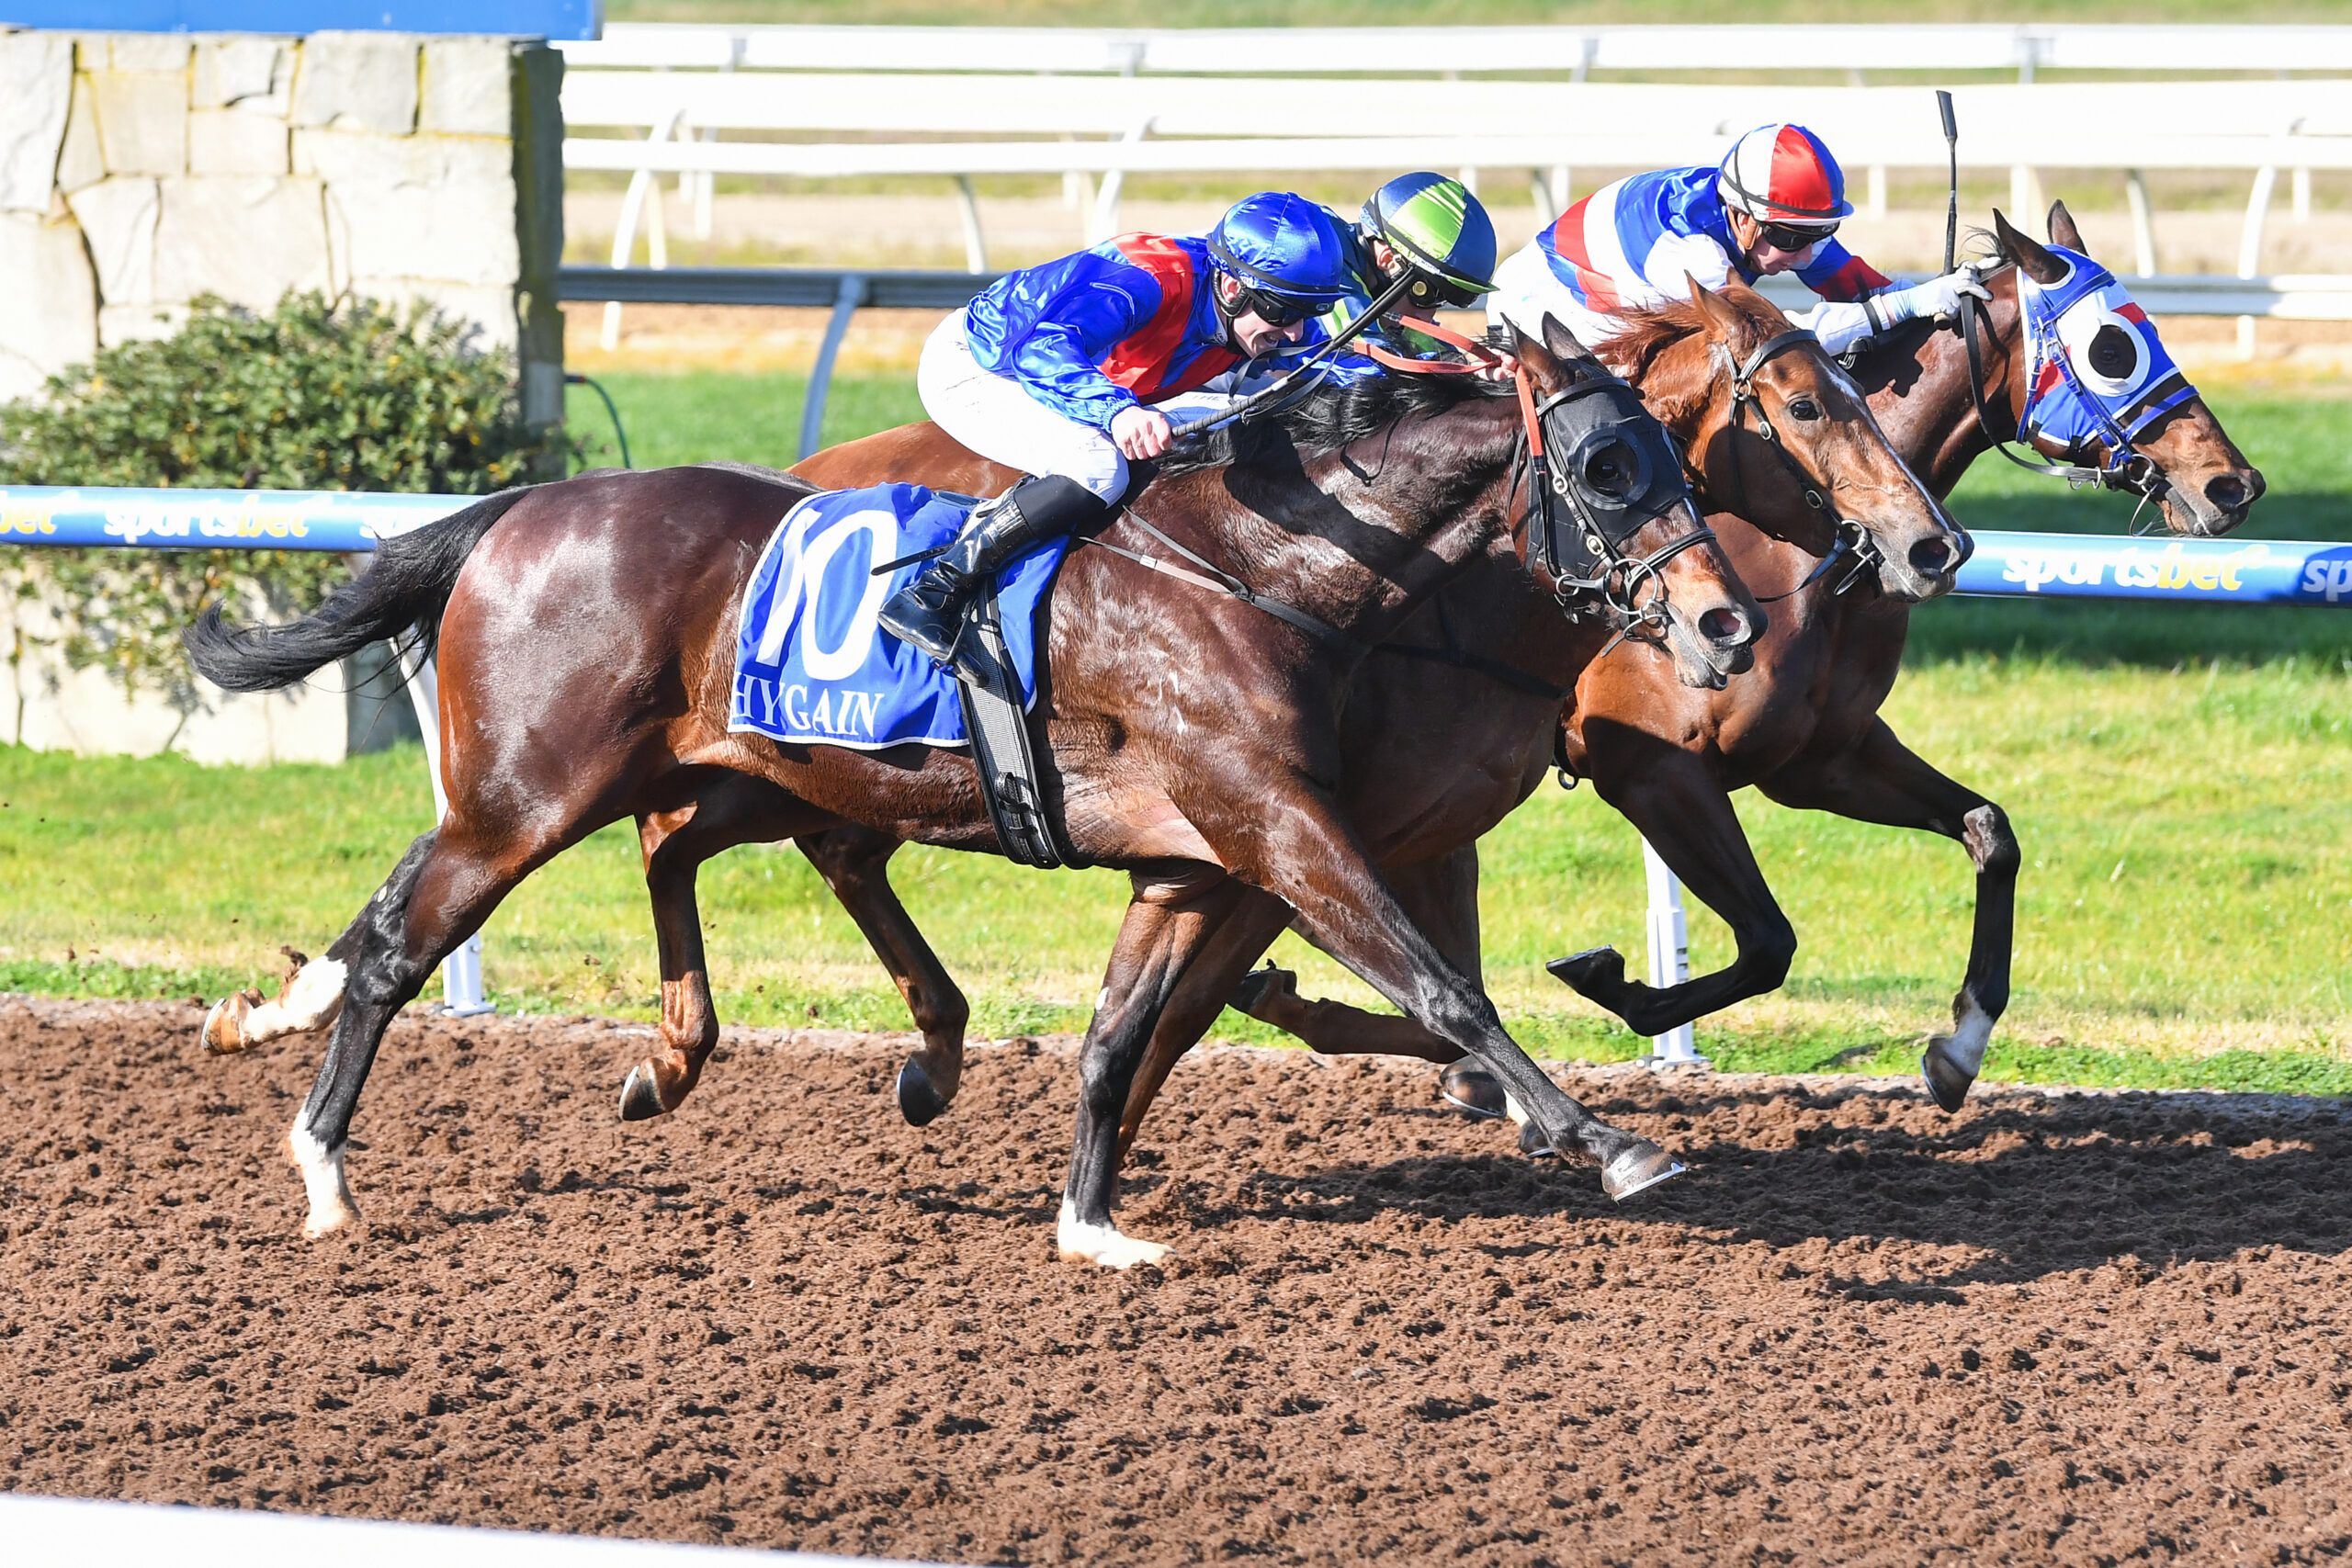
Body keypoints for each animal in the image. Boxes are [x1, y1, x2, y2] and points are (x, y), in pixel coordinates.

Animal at [187, 329, 1769, 1259]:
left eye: (1675, 456)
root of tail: (521, 508)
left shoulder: (1199, 859)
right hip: (526, 796)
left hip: (722, 766)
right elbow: (1447, 986)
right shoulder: (1279, 825)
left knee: (639, 853)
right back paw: (325, 1165)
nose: (1726, 622)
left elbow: (1120, 1034)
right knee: (408, 941)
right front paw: (1609, 1141)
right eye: (1605, 466)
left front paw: (1090, 1219)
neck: (1265, 569)